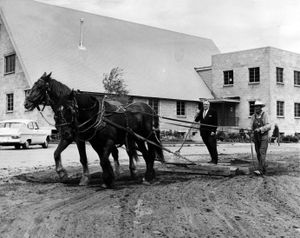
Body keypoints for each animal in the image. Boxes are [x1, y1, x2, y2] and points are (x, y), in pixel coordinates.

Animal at [24, 72, 164, 188]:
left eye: (40, 87)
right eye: (58, 113)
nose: (26, 103)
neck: (95, 116)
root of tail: (149, 108)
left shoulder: (85, 139)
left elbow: (92, 159)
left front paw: (89, 179)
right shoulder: (86, 140)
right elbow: (57, 153)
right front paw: (63, 174)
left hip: (146, 136)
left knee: (144, 154)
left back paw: (143, 175)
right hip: (137, 138)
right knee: (142, 154)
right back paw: (145, 174)